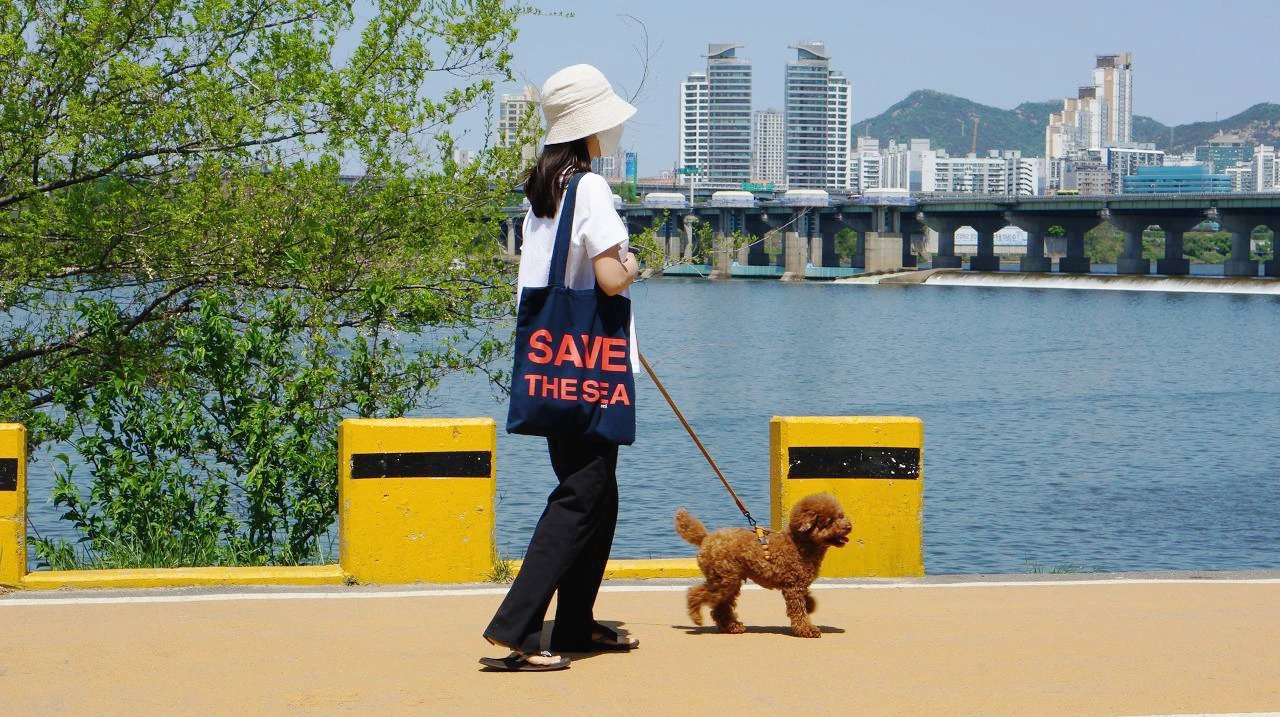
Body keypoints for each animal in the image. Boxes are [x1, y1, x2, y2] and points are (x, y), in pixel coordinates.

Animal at [675, 493, 853, 638]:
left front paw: (810, 605)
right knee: (696, 593)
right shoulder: (793, 588)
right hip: (724, 579)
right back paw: (696, 616)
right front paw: (806, 630)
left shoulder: (799, 584)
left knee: (720, 607)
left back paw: (732, 627)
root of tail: (706, 538)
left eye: (840, 516)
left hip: (730, 580)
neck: (801, 544)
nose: (848, 526)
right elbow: (798, 611)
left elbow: (805, 602)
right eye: (829, 521)